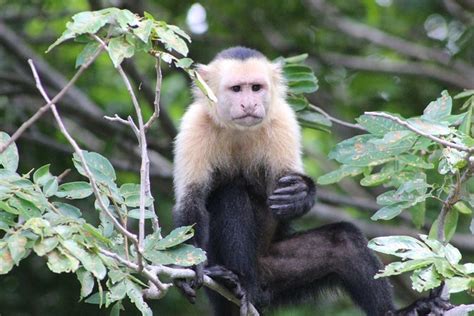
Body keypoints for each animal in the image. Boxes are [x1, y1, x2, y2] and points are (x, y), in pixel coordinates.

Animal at [171, 47, 452, 316]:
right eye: (237, 89)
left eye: (256, 88)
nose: (249, 104)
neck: (239, 130)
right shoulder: (194, 125)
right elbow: (192, 202)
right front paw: (185, 264)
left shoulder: (282, 120)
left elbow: (283, 195)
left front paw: (300, 194)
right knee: (230, 192)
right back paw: (238, 282)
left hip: (275, 274)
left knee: (343, 241)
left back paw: (397, 312)